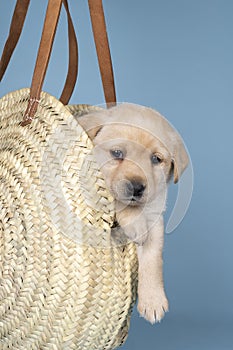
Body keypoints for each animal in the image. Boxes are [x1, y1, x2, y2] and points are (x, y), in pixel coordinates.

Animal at [75, 102, 188, 324]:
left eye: (156, 159)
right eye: (117, 153)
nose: (137, 188)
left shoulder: (155, 217)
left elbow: (153, 257)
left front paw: (153, 300)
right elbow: (118, 200)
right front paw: (135, 222)